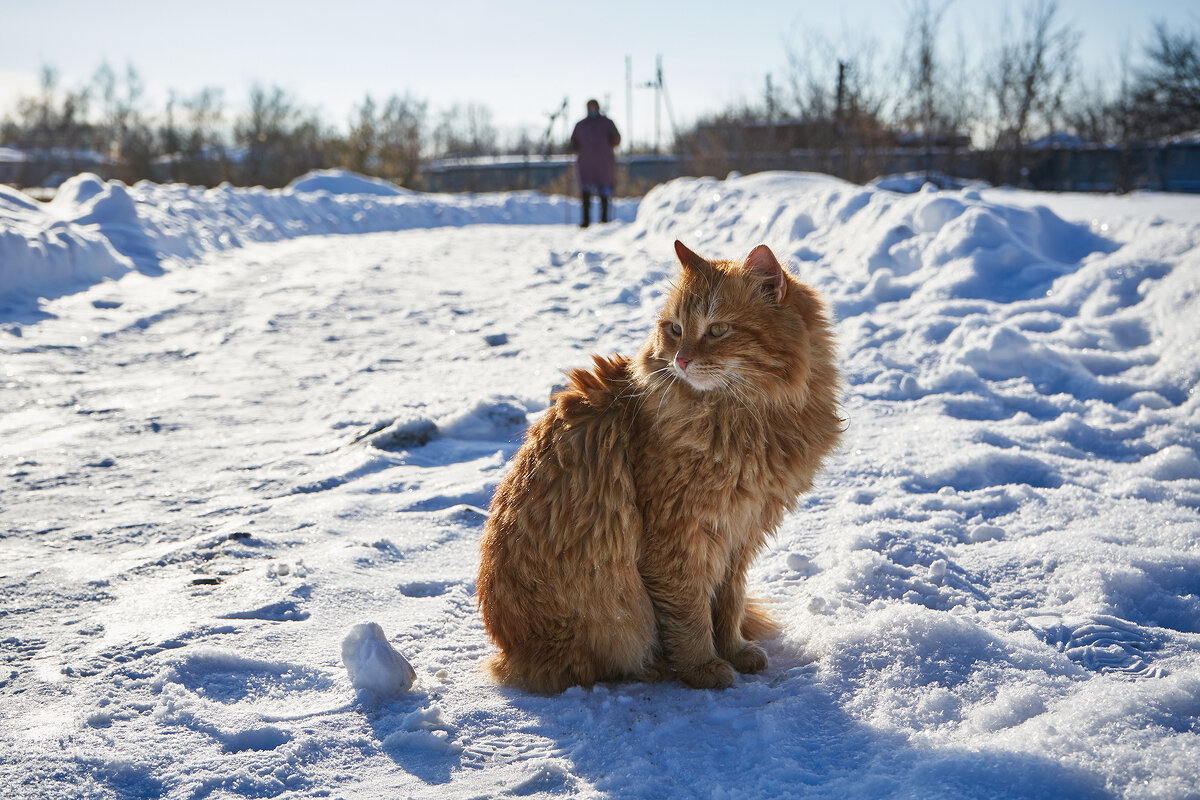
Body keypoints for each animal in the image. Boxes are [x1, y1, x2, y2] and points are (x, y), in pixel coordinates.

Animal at [472, 241, 840, 690]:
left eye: (718, 330)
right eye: (676, 329)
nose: (680, 361)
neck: (748, 417)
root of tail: (508, 650)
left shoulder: (740, 535)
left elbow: (729, 605)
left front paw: (735, 650)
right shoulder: (677, 535)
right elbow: (689, 613)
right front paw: (705, 667)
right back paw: (656, 667)